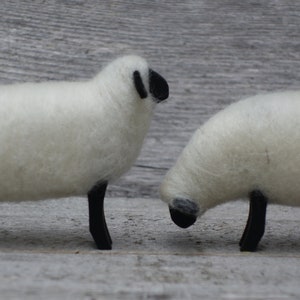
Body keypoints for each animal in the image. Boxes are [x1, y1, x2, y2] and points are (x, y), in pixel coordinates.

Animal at [0, 54, 169, 251]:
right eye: (150, 75)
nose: (168, 89)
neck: (110, 101)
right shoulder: (98, 177)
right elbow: (96, 216)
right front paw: (104, 243)